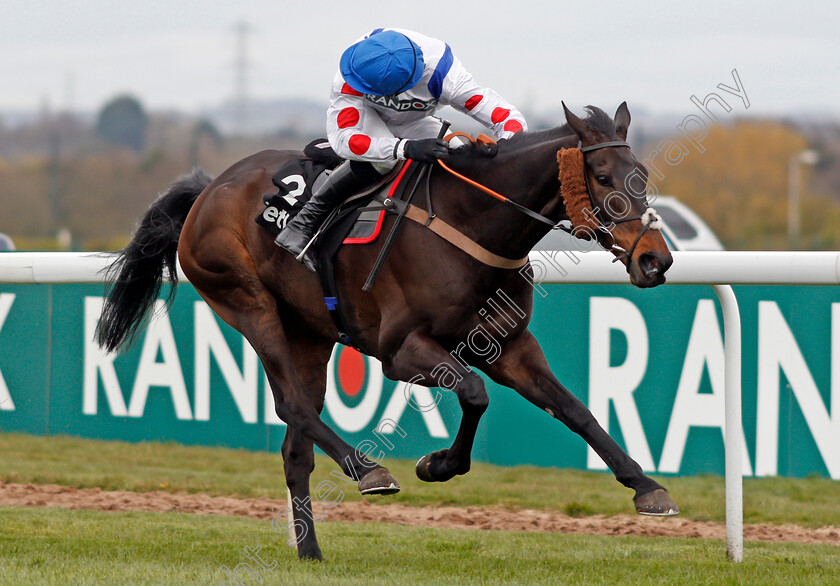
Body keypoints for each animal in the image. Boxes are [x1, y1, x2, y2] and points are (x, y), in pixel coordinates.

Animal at [97, 102, 676, 560]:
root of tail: (207, 190)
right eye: (603, 176)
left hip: (310, 333)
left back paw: (310, 551)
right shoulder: (401, 351)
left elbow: (575, 410)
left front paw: (645, 486)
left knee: (295, 446)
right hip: (247, 303)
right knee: (292, 405)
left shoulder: (510, 346)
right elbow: (474, 392)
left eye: (641, 175)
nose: (655, 260)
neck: (471, 222)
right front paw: (438, 464)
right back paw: (367, 470)